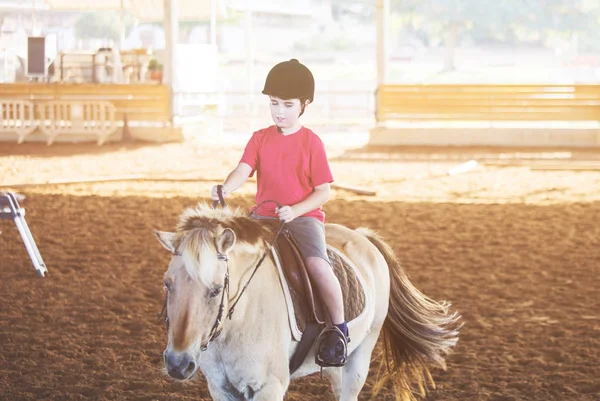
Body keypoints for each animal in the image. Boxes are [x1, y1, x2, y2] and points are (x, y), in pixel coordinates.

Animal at [154, 205, 460, 398]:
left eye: (216, 290)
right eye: (167, 284)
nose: (178, 363)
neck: (238, 321)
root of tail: (363, 237)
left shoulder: (269, 387)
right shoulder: (221, 388)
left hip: (362, 353)